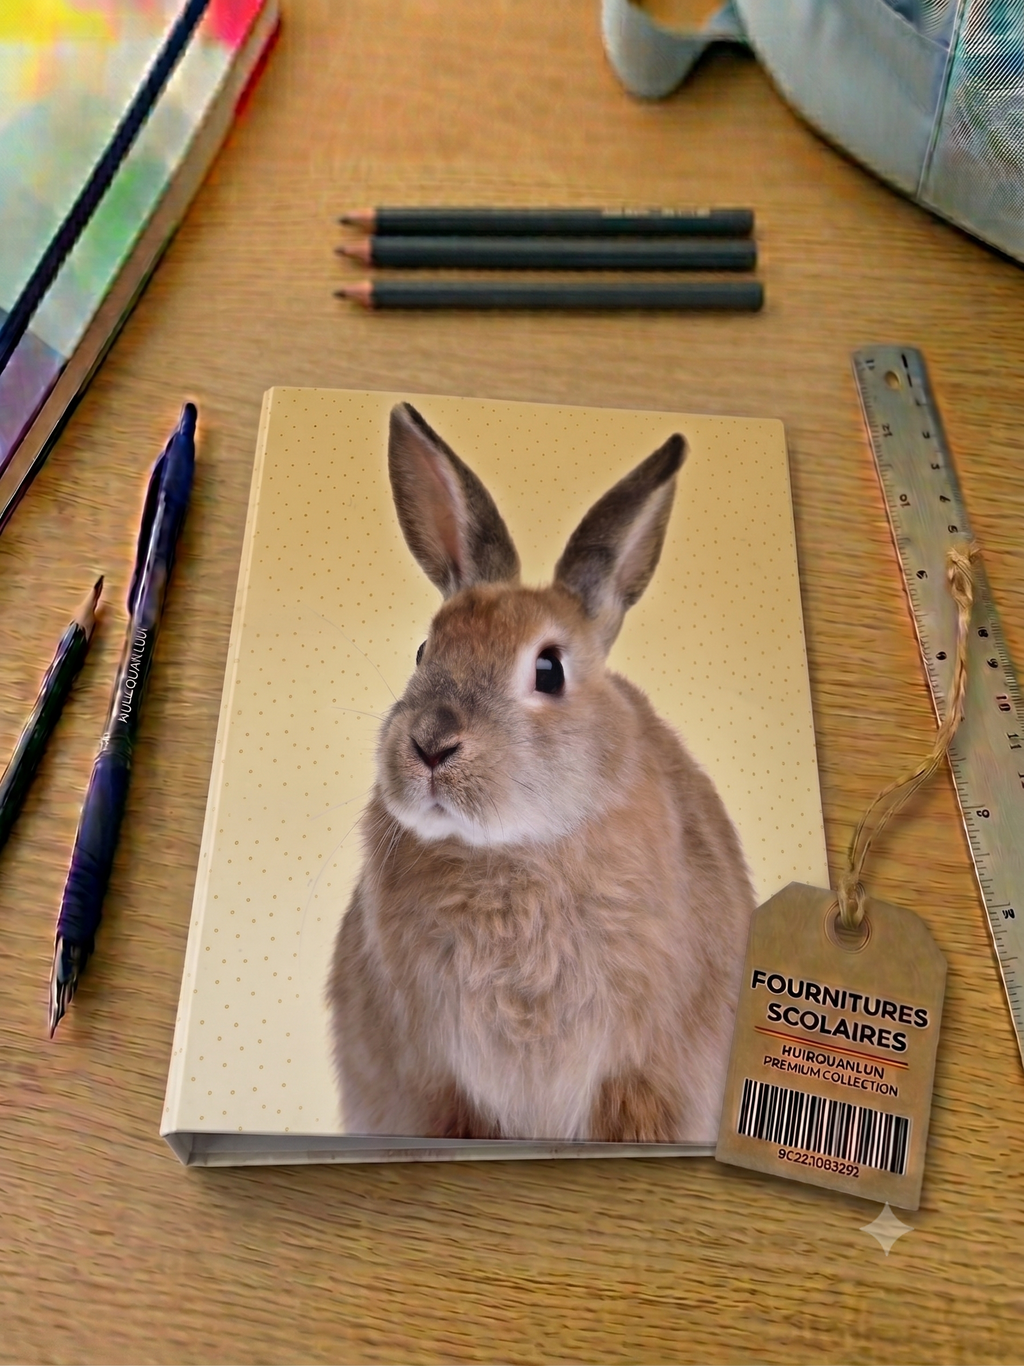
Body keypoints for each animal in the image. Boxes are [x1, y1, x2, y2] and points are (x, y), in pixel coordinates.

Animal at [327, 402, 756, 1143]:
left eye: (549, 669)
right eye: (424, 650)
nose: (431, 746)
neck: (509, 854)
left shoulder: (639, 1079)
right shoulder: (441, 1083)